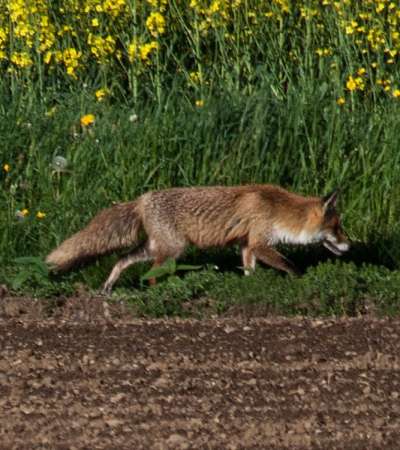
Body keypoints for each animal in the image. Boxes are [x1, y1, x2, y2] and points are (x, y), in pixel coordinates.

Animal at [45, 185, 348, 294]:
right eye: (338, 226)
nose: (350, 244)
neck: (278, 209)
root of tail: (143, 199)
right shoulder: (260, 243)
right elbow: (290, 266)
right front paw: (302, 280)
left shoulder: (246, 245)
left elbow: (249, 271)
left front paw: (248, 287)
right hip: (173, 250)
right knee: (151, 274)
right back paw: (159, 292)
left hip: (156, 247)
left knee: (122, 259)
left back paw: (108, 286)